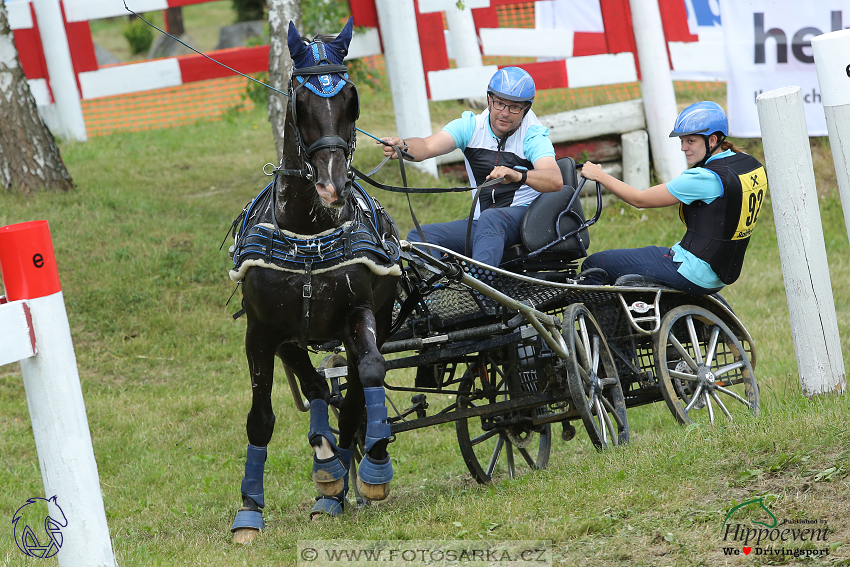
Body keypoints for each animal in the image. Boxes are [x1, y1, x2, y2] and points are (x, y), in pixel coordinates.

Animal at [225, 17, 398, 540]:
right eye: (301, 102)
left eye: (351, 100)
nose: (331, 184)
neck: (308, 230)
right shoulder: (261, 332)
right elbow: (261, 418)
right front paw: (249, 512)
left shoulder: (359, 313)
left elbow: (370, 374)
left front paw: (373, 471)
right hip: (289, 336)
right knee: (318, 386)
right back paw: (328, 470)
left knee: (352, 391)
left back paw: (341, 473)